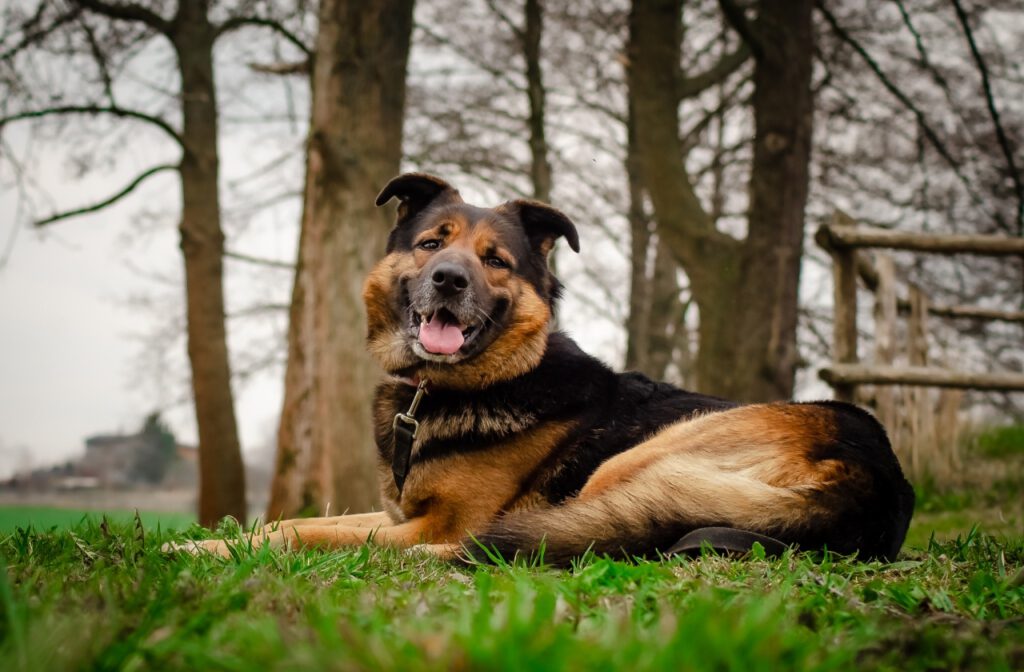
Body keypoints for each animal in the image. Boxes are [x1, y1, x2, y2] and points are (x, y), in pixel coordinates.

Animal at [186, 172, 921, 561]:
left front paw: (192, 550)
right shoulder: (397, 514)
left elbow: (306, 535)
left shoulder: (434, 524)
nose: (449, 279)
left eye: (495, 260)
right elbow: (289, 523)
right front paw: (228, 538)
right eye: (429, 245)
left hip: (639, 462)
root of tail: (875, 479)